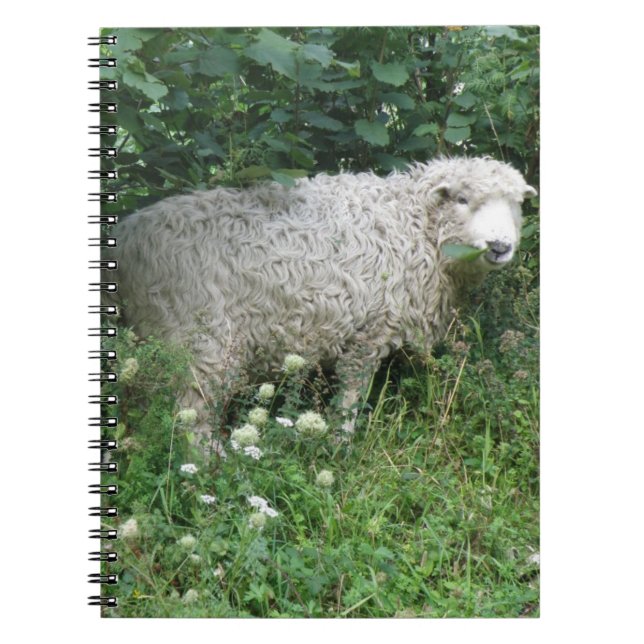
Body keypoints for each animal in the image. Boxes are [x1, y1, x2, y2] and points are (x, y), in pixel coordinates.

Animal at [107, 156, 536, 444]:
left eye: (516, 204)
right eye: (462, 199)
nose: (500, 246)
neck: (413, 225)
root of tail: (125, 238)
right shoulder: (368, 332)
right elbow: (350, 396)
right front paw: (341, 444)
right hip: (199, 336)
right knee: (191, 413)